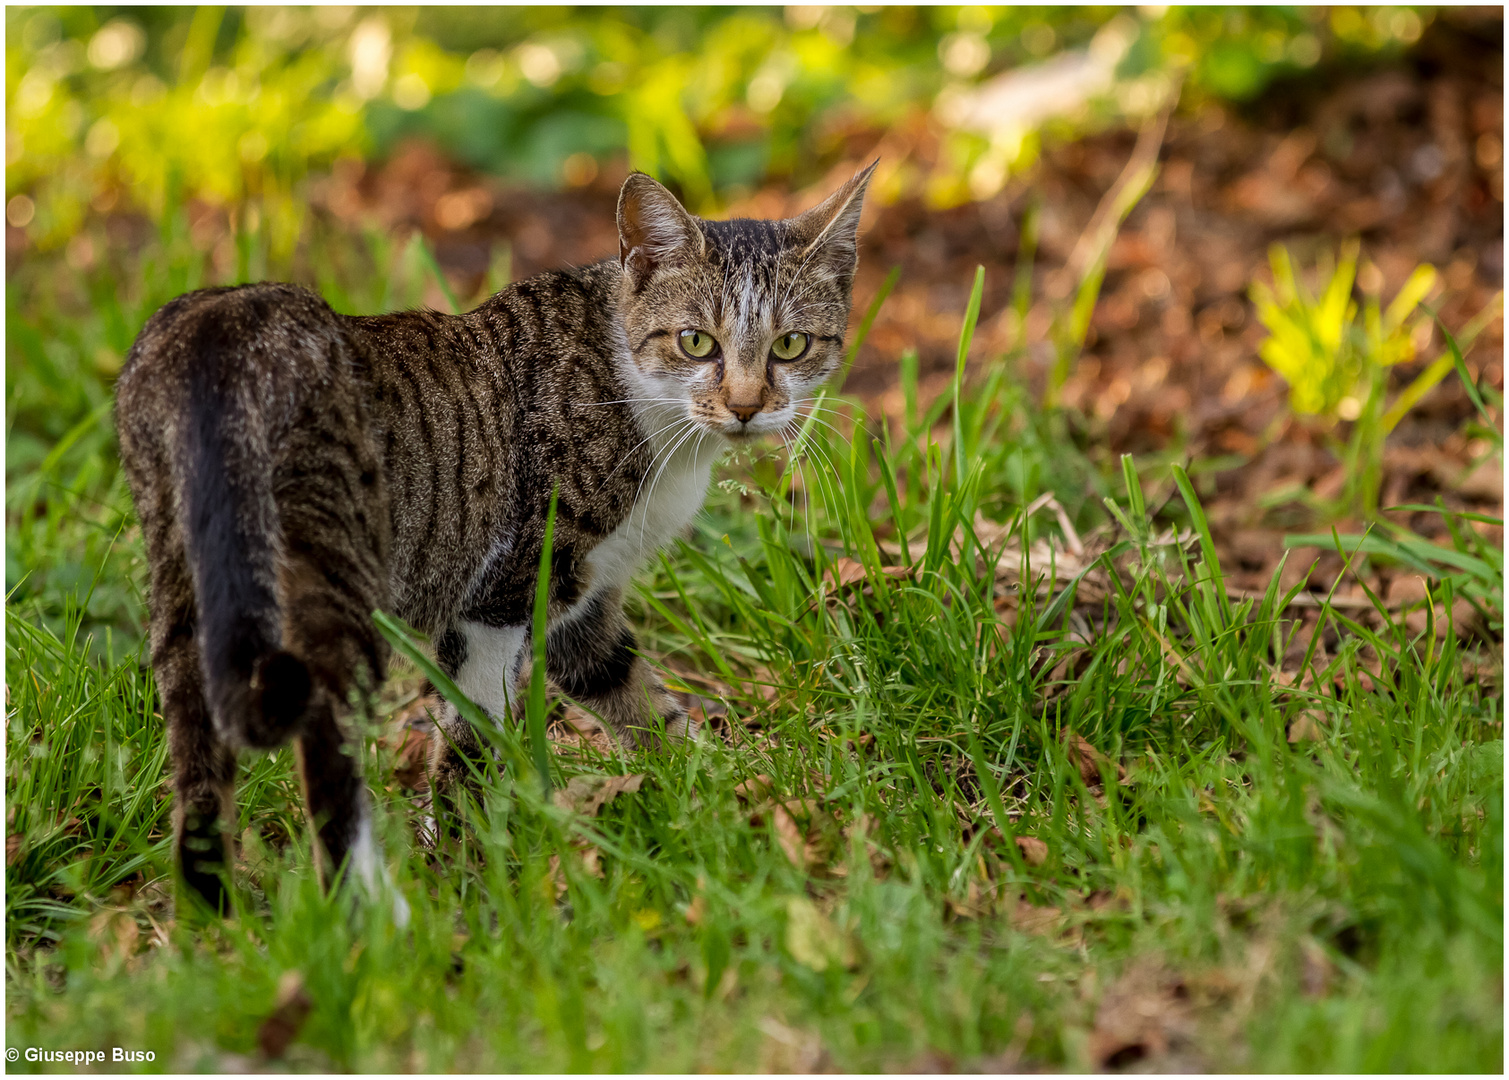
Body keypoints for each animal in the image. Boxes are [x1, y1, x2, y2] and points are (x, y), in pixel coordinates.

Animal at [114, 162, 875, 917]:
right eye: (696, 342)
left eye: (790, 345)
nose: (747, 406)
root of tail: (221, 334)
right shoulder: (506, 591)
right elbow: (473, 738)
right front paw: (463, 873)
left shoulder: (581, 599)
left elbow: (633, 692)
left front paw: (717, 798)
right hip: (331, 573)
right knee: (324, 735)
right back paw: (371, 914)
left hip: (186, 576)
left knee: (196, 745)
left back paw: (214, 914)